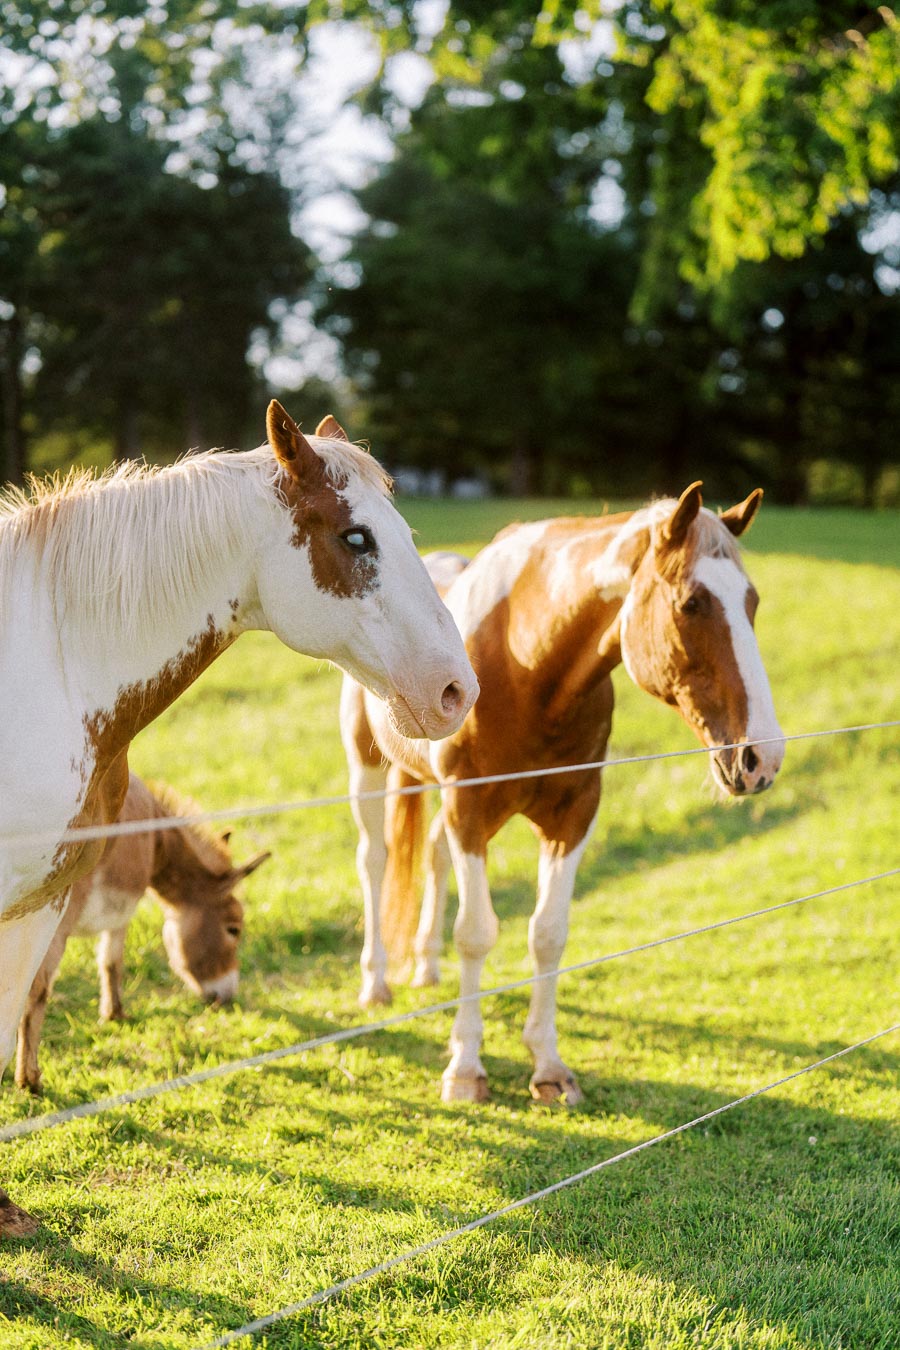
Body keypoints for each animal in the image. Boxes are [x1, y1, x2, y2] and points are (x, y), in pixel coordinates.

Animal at [15, 772, 270, 1095]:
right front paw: (116, 1013)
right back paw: (30, 1080)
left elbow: (107, 962)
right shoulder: (120, 911)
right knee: (36, 993)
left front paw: (112, 1014)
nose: (228, 997)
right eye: (233, 929)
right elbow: (112, 962)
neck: (156, 835)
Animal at [340, 482, 785, 1105]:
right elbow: (476, 933)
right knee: (375, 861)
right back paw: (377, 983)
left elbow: (548, 935)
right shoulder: (469, 809)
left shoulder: (573, 814)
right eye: (692, 603)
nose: (762, 757)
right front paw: (465, 1069)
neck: (527, 665)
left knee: (430, 854)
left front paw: (548, 1067)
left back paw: (426, 967)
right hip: (367, 769)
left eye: (752, 602)